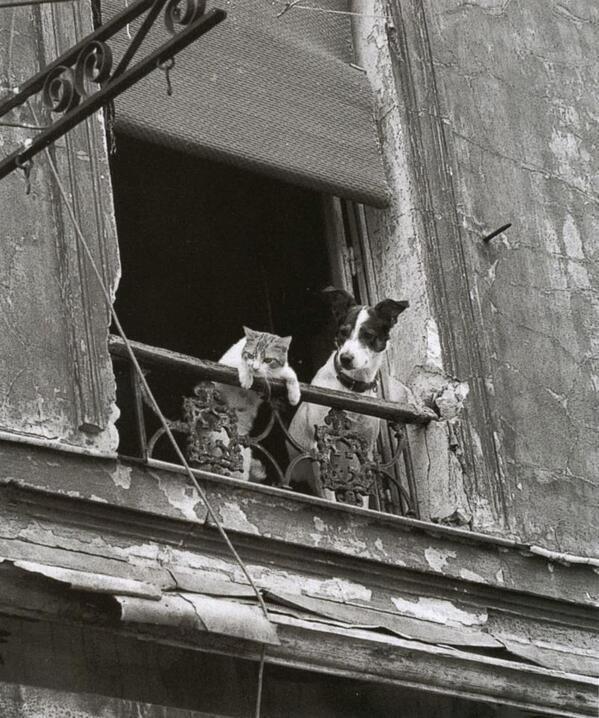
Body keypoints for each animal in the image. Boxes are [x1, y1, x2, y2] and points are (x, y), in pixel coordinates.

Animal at [214, 330, 300, 480]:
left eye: (268, 360)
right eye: (251, 355)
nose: (256, 367)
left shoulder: (278, 371)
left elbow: (290, 374)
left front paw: (295, 395)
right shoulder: (225, 365)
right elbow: (241, 364)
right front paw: (246, 377)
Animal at [288, 286, 410, 506]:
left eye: (368, 335)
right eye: (343, 333)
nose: (345, 358)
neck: (351, 389)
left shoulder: (364, 451)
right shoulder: (320, 446)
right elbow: (328, 492)